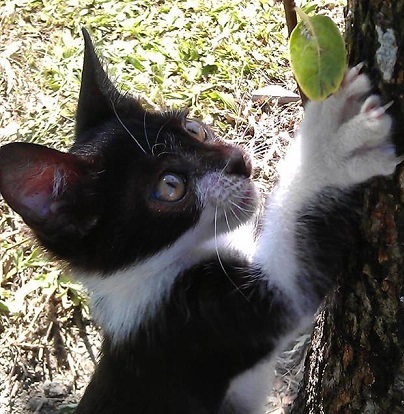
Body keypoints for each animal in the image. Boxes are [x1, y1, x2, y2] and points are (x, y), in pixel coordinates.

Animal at [0, 29, 400, 414]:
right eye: (171, 186)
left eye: (194, 129)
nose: (239, 162)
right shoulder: (200, 324)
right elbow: (291, 271)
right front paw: (332, 145)